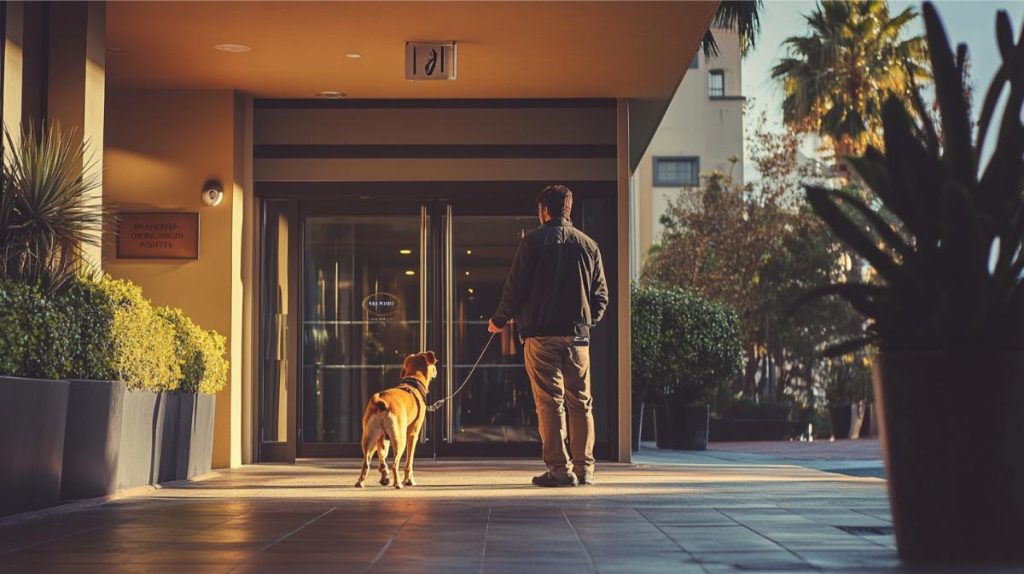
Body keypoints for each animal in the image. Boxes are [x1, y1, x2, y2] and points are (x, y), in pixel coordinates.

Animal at [356, 349, 436, 487]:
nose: (436, 370)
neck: (413, 382)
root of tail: (381, 400)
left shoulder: (382, 439)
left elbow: (382, 458)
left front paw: (384, 477)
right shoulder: (412, 434)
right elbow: (409, 462)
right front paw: (409, 480)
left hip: (369, 438)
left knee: (366, 463)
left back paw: (361, 482)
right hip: (400, 439)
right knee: (394, 464)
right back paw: (398, 483)